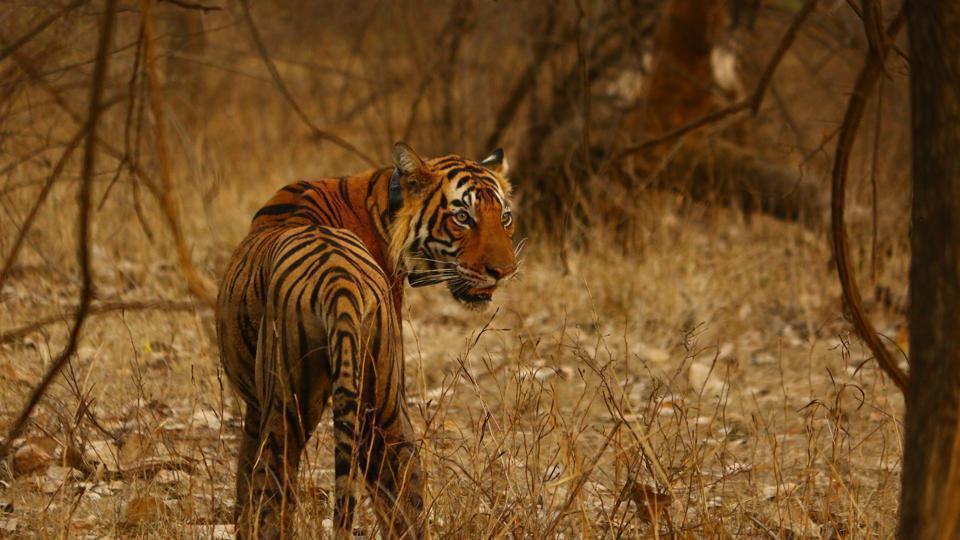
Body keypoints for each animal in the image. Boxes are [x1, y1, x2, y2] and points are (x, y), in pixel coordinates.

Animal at [215, 141, 520, 536]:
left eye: (505, 217)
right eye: (463, 217)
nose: (505, 271)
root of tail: (338, 282)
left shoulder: (257, 410)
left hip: (294, 409)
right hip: (382, 404)